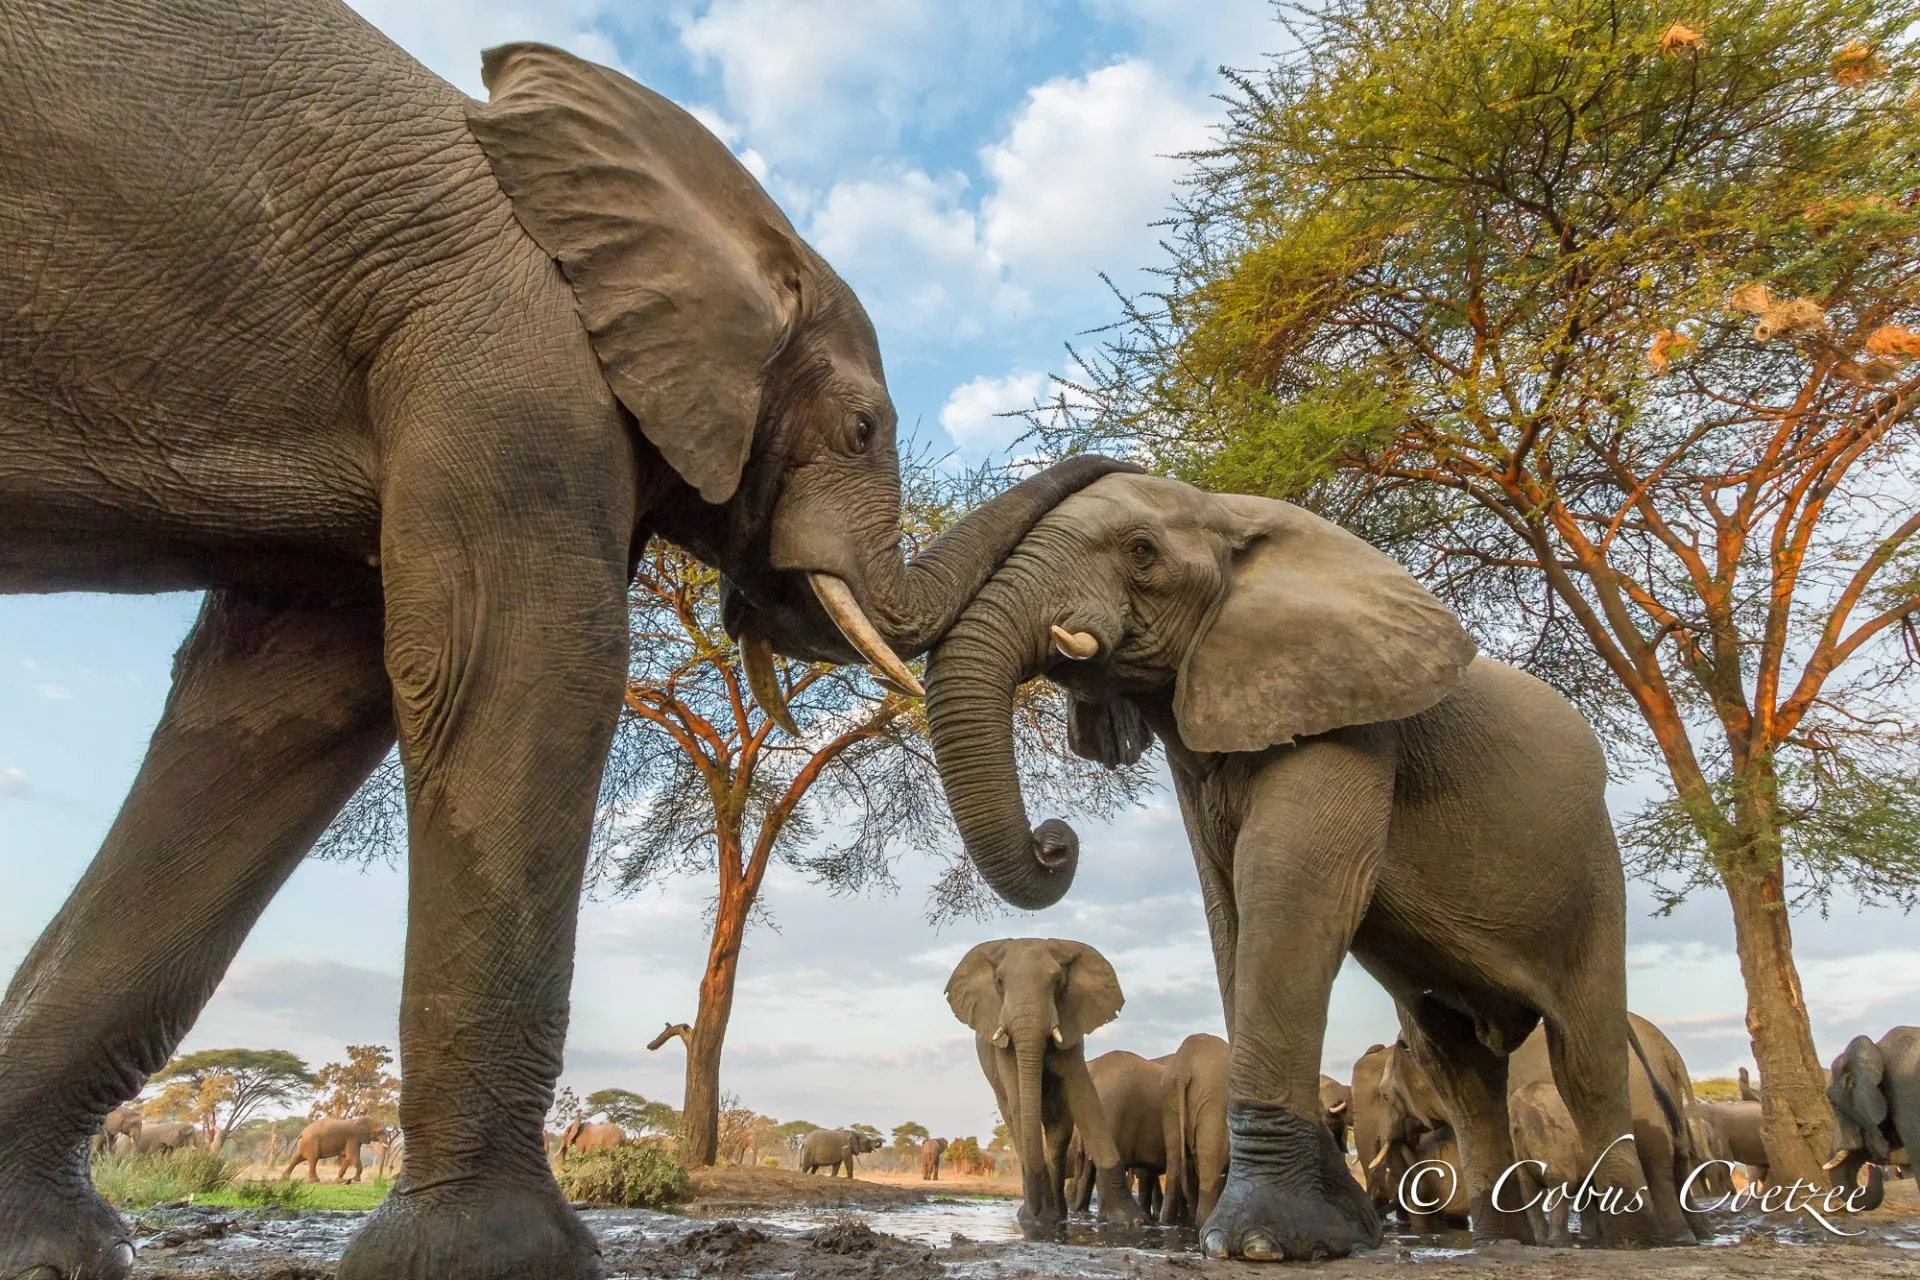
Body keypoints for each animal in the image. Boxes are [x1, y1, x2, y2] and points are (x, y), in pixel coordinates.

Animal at [945, 938, 1144, 1234]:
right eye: (999, 981)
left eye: (1058, 981)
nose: (1036, 1210)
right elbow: (1018, 1098)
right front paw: (1035, 1219)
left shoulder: (1072, 1025)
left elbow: (1085, 1099)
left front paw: (1132, 1221)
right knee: (1013, 1118)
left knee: (1058, 1134)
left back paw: (1059, 1212)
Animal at [1160, 1033, 1230, 1228]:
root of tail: (1184, 1065)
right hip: (1214, 1099)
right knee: (1210, 1168)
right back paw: (1201, 1224)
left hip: (1169, 1099)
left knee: (1174, 1164)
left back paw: (1167, 1223)